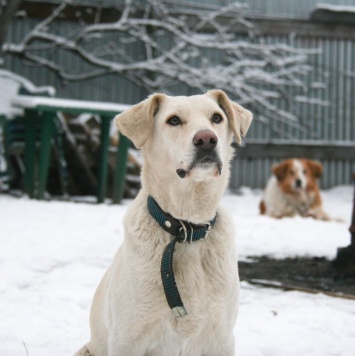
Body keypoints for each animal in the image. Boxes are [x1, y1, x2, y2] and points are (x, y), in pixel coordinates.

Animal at [75, 89, 253, 356]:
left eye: (217, 118)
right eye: (174, 120)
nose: (206, 139)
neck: (186, 227)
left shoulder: (220, 338)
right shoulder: (127, 339)